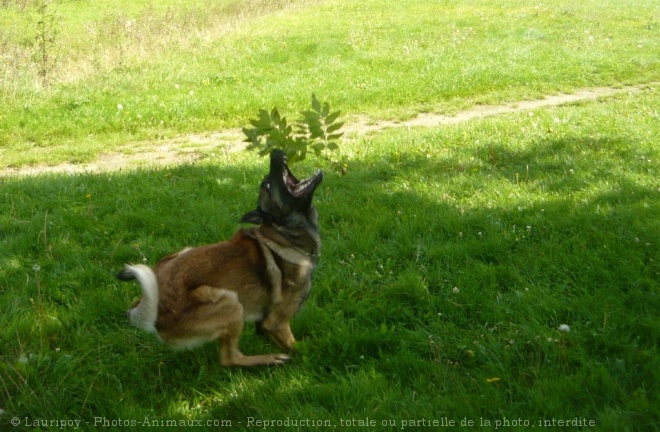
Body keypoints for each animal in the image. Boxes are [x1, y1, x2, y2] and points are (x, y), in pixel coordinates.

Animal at [118, 150, 324, 366]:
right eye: (268, 184)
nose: (275, 153)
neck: (282, 236)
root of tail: (150, 312)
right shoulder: (277, 323)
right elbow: (300, 348)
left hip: (187, 254)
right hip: (231, 301)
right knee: (230, 358)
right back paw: (269, 358)